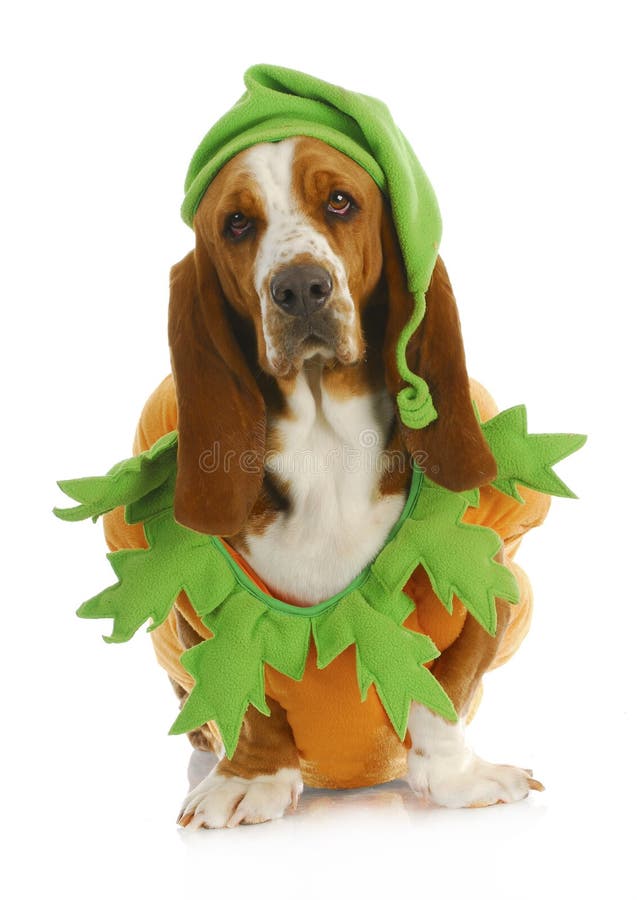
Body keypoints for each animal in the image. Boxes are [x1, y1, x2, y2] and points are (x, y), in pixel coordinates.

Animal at [102, 134, 548, 828]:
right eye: (237, 223)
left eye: (341, 201)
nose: (301, 287)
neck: (325, 445)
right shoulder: (204, 606)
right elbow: (244, 689)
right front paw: (249, 781)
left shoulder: (488, 581)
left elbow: (442, 689)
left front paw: (457, 778)